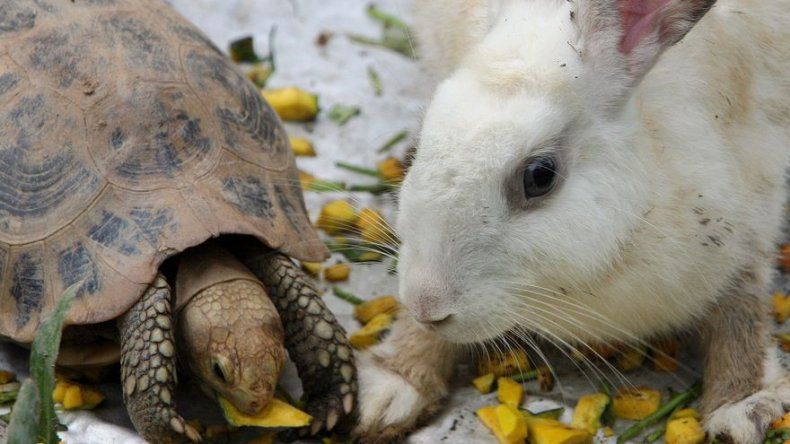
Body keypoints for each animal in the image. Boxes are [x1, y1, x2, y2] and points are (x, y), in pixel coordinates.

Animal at [353, 0, 790, 442]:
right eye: (421, 140)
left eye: (539, 176)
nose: (427, 306)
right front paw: (390, 391)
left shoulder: (752, 209)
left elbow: (742, 306)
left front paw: (743, 406)